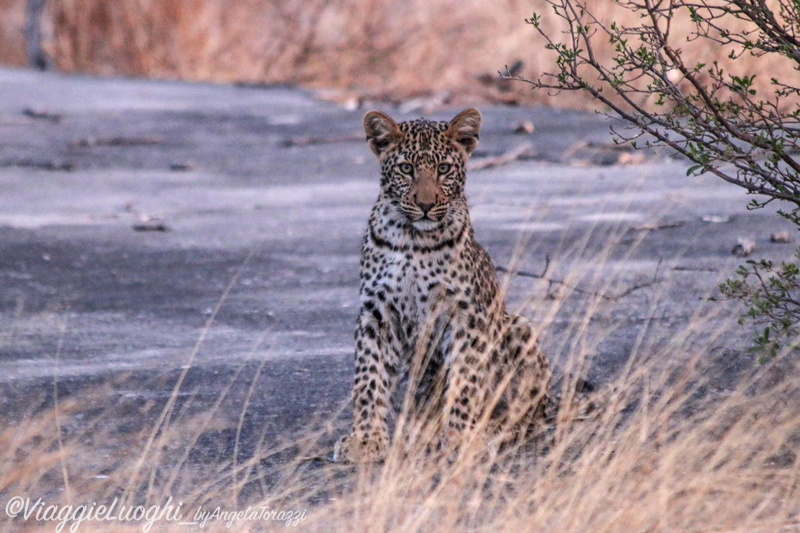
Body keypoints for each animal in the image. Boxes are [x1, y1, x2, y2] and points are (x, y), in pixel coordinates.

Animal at [332, 107, 552, 462]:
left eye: (444, 169)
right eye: (406, 169)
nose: (424, 205)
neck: (412, 239)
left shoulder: (465, 313)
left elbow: (465, 379)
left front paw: (460, 437)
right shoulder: (377, 312)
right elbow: (368, 377)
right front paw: (365, 439)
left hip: (518, 327)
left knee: (528, 417)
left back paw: (488, 431)